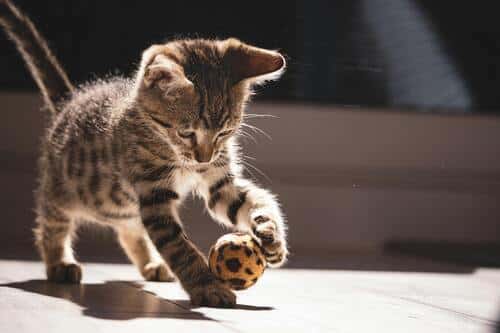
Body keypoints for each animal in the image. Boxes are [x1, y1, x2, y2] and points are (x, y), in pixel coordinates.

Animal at [0, 0, 290, 306]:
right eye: (187, 133)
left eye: (224, 133)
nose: (204, 158)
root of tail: (69, 103)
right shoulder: (154, 195)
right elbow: (179, 247)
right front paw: (207, 287)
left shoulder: (220, 183)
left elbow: (253, 201)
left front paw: (271, 235)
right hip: (62, 192)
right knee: (51, 223)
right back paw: (59, 263)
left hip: (124, 207)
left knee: (129, 231)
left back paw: (151, 264)